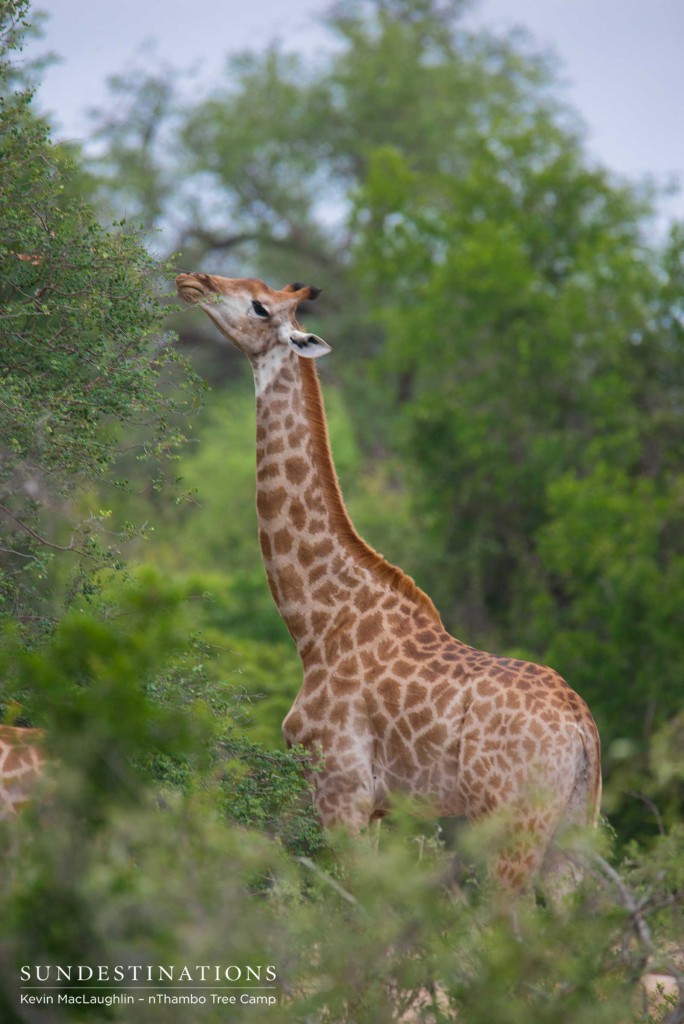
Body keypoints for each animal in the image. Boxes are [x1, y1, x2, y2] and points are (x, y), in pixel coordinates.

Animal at [175, 270, 597, 888]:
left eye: (259, 306)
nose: (192, 279)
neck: (316, 624)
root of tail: (582, 729)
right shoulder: (377, 808)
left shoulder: (340, 787)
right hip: (574, 831)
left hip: (510, 824)